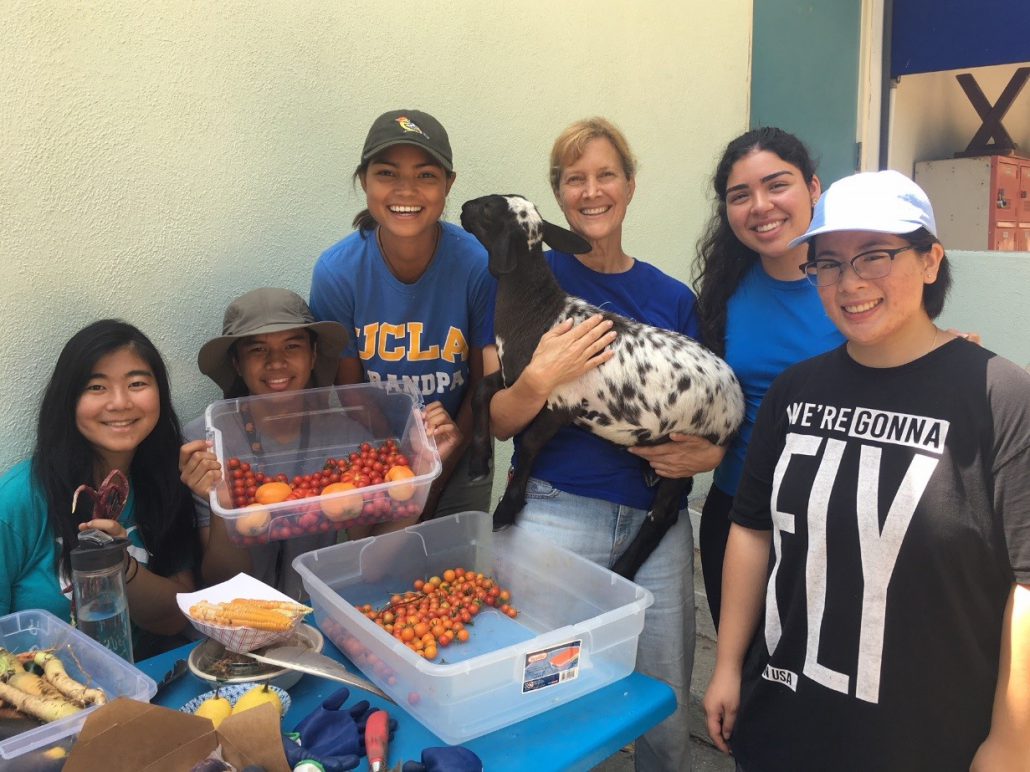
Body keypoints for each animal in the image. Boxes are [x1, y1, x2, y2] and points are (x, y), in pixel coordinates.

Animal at [459, 193, 741, 580]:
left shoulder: (561, 403)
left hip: (691, 444)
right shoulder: (516, 379)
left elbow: (529, 444)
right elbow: (482, 393)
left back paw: (622, 569)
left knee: (662, 514)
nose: (462, 209)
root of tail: (739, 400)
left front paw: (505, 510)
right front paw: (477, 462)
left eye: (489, 208)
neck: (539, 315)